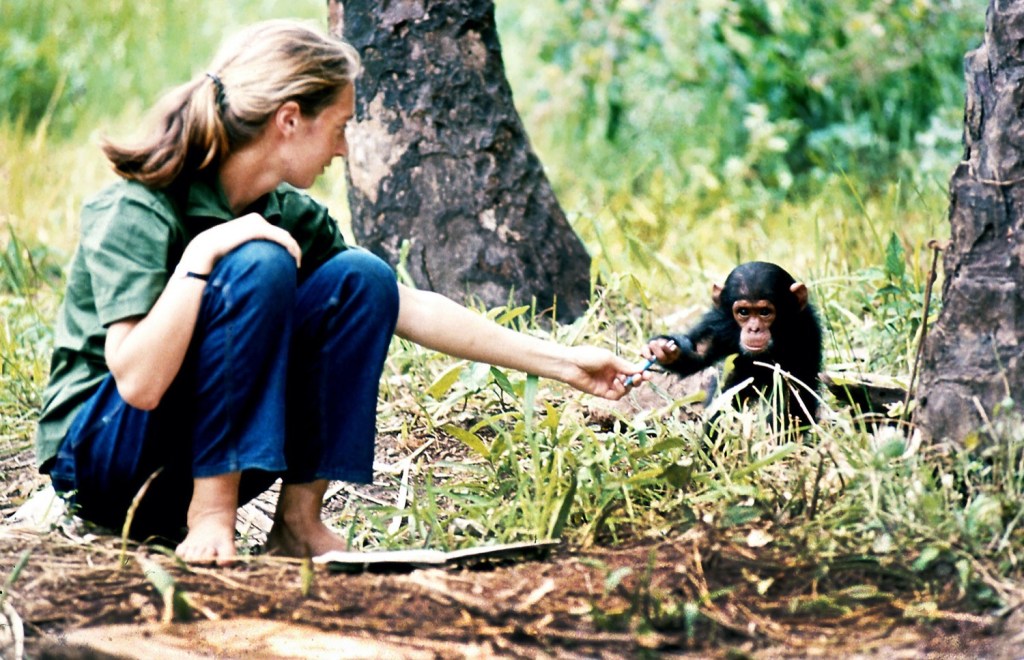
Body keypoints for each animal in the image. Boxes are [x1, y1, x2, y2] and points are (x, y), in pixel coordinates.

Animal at [642, 261, 824, 430]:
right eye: (743, 312)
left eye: (765, 312)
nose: (754, 329)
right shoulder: (718, 322)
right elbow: (699, 351)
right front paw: (663, 349)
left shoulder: (804, 330)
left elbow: (792, 390)